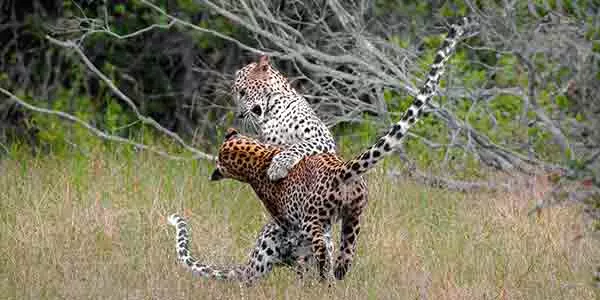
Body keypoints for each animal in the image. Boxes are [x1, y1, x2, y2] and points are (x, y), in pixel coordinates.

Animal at [231, 54, 336, 182]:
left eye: (242, 92)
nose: (239, 115)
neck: (273, 111)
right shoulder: (272, 144)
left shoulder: (322, 137)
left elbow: (298, 145)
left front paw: (278, 166)